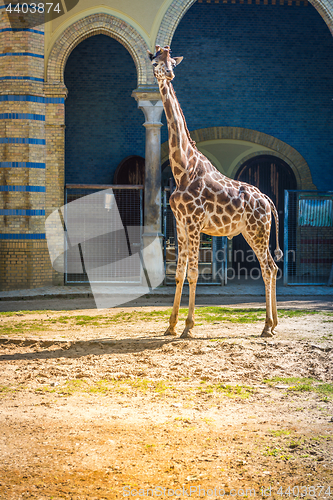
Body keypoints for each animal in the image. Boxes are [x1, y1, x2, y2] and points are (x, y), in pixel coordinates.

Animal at [147, 45, 282, 340]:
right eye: (156, 61)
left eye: (173, 62)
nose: (169, 74)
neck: (182, 169)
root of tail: (268, 200)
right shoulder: (180, 224)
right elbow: (178, 273)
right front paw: (170, 326)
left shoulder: (194, 222)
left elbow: (194, 273)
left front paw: (188, 327)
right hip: (252, 232)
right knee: (272, 267)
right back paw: (273, 324)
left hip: (257, 231)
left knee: (268, 268)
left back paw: (267, 326)